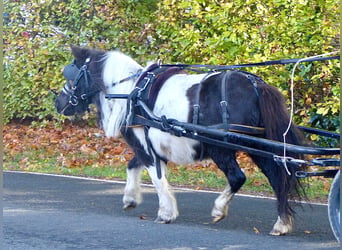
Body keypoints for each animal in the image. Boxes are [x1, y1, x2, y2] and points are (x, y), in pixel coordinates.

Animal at [54, 46, 304, 235]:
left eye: (71, 75)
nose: (58, 103)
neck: (129, 92)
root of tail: (256, 85)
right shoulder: (147, 145)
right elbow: (133, 166)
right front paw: (130, 198)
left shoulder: (146, 148)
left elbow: (157, 179)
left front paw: (165, 213)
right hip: (258, 146)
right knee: (278, 178)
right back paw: (281, 224)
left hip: (221, 147)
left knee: (238, 177)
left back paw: (219, 209)